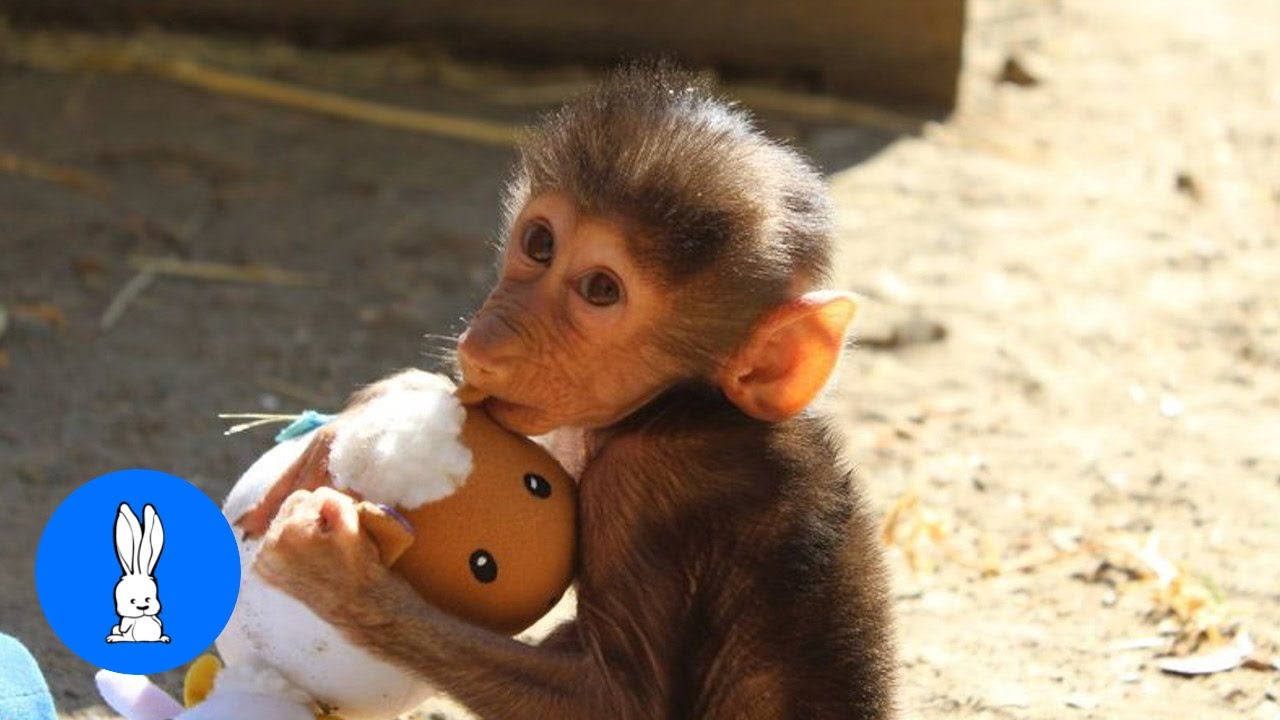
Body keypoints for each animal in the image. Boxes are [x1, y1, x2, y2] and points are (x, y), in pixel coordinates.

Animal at [249, 62, 896, 720]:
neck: (687, 404)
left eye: (601, 290)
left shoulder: (648, 487)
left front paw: (337, 575)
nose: (485, 345)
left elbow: (618, 701)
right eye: (539, 243)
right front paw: (395, 394)